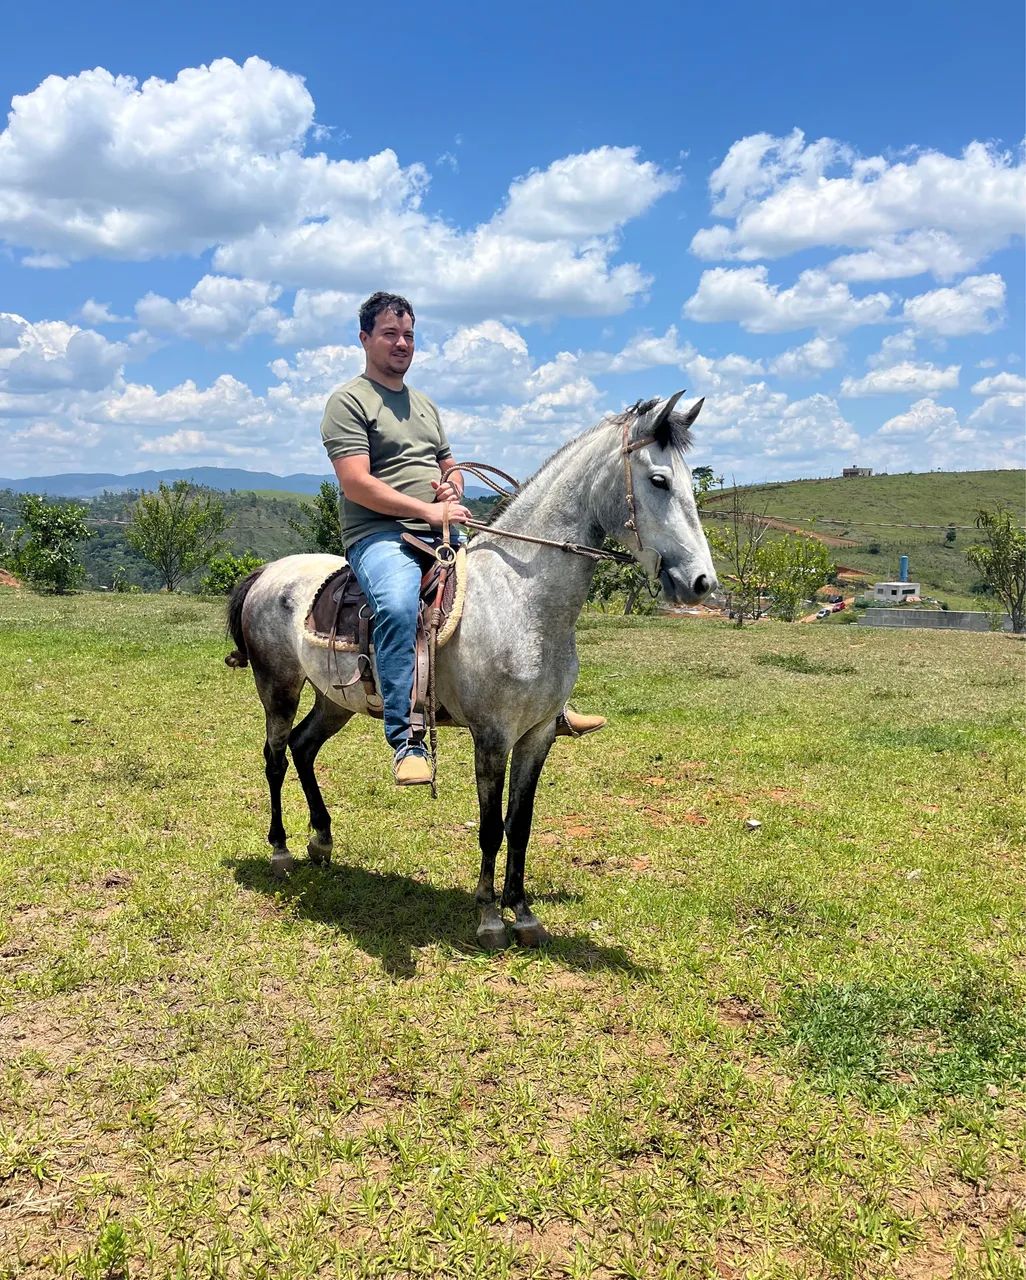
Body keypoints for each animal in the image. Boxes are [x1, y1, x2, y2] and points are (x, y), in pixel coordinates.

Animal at [226, 392, 717, 950]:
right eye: (659, 480)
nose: (701, 582)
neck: (519, 598)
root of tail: (268, 572)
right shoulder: (492, 735)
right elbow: (490, 826)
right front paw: (488, 918)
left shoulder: (537, 734)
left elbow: (520, 824)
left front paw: (523, 913)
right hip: (278, 687)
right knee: (275, 756)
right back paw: (281, 849)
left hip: (334, 700)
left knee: (304, 747)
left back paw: (322, 841)